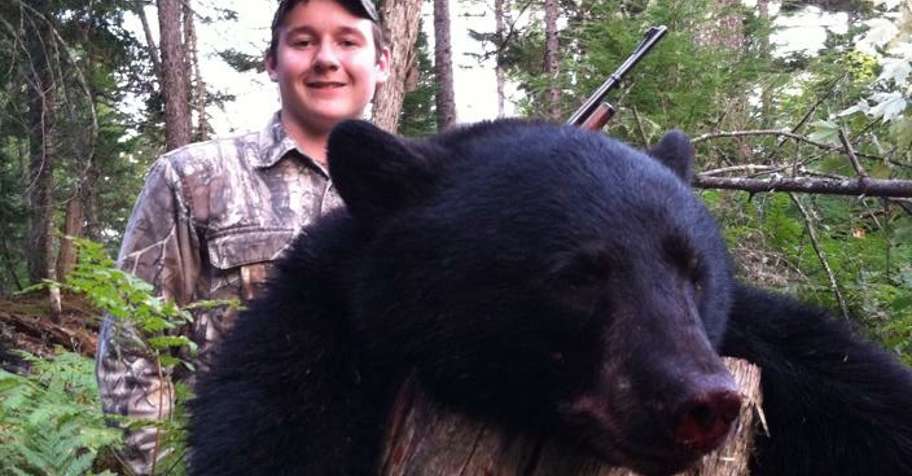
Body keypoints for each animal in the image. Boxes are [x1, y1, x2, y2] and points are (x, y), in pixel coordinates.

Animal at [188, 119, 912, 476]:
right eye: (578, 276)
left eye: (693, 270)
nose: (703, 401)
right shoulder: (307, 340)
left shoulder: (791, 362)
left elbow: (869, 399)